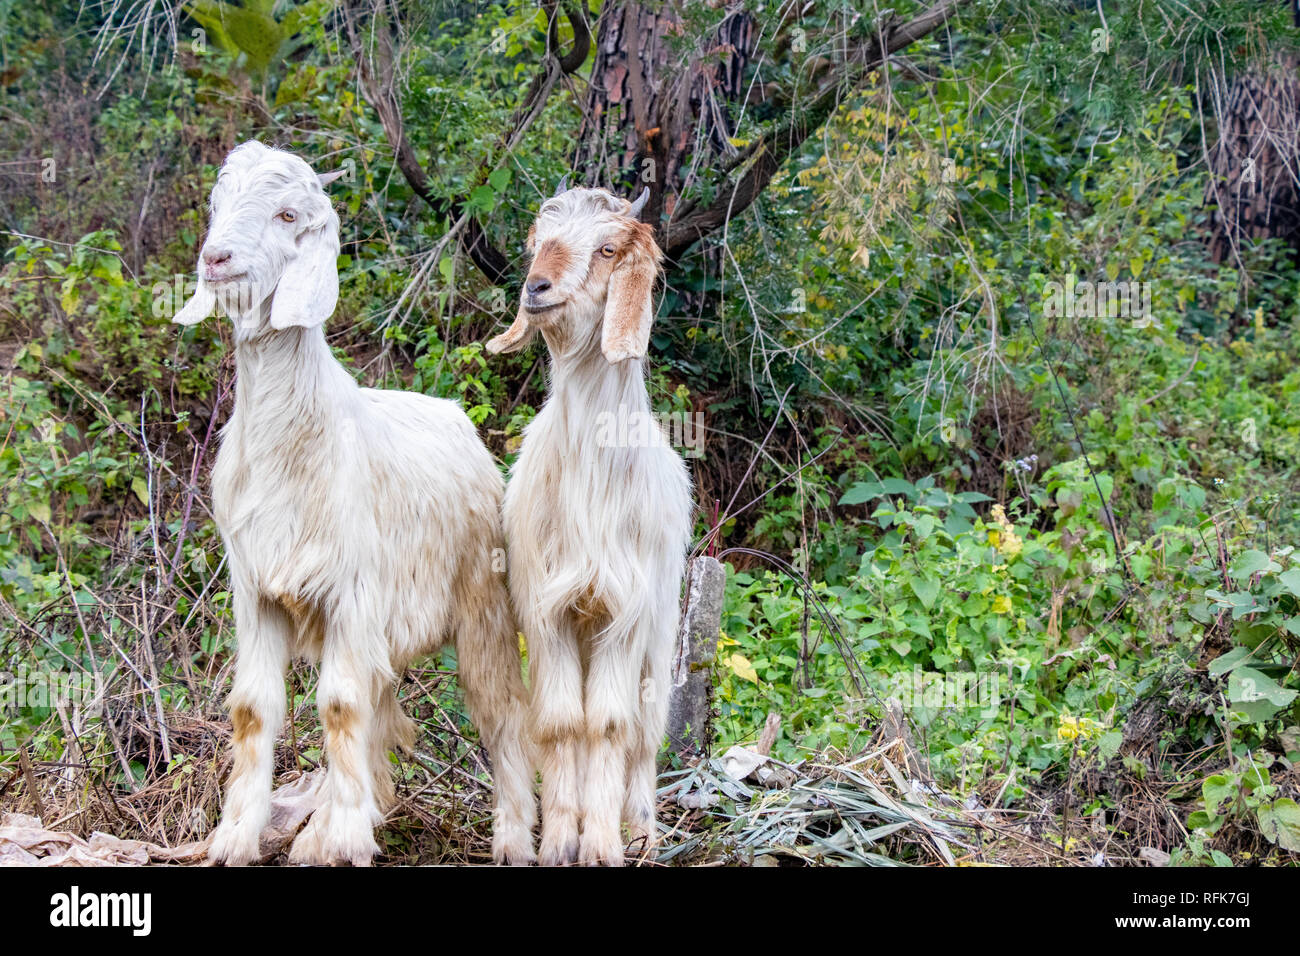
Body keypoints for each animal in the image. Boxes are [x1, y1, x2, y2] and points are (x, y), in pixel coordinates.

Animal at [175, 140, 535, 868]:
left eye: (288, 214)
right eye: (219, 202)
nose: (215, 258)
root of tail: (457, 419)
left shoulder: (351, 588)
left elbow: (339, 707)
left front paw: (341, 838)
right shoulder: (256, 589)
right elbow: (254, 709)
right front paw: (235, 839)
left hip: (481, 602)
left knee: (500, 710)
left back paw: (513, 838)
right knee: (379, 697)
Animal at [486, 183, 691, 863]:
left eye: (606, 248)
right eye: (537, 242)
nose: (536, 287)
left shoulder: (625, 614)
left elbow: (608, 723)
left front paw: (601, 843)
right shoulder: (546, 607)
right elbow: (560, 722)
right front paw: (558, 841)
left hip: (662, 628)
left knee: (646, 731)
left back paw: (644, 828)